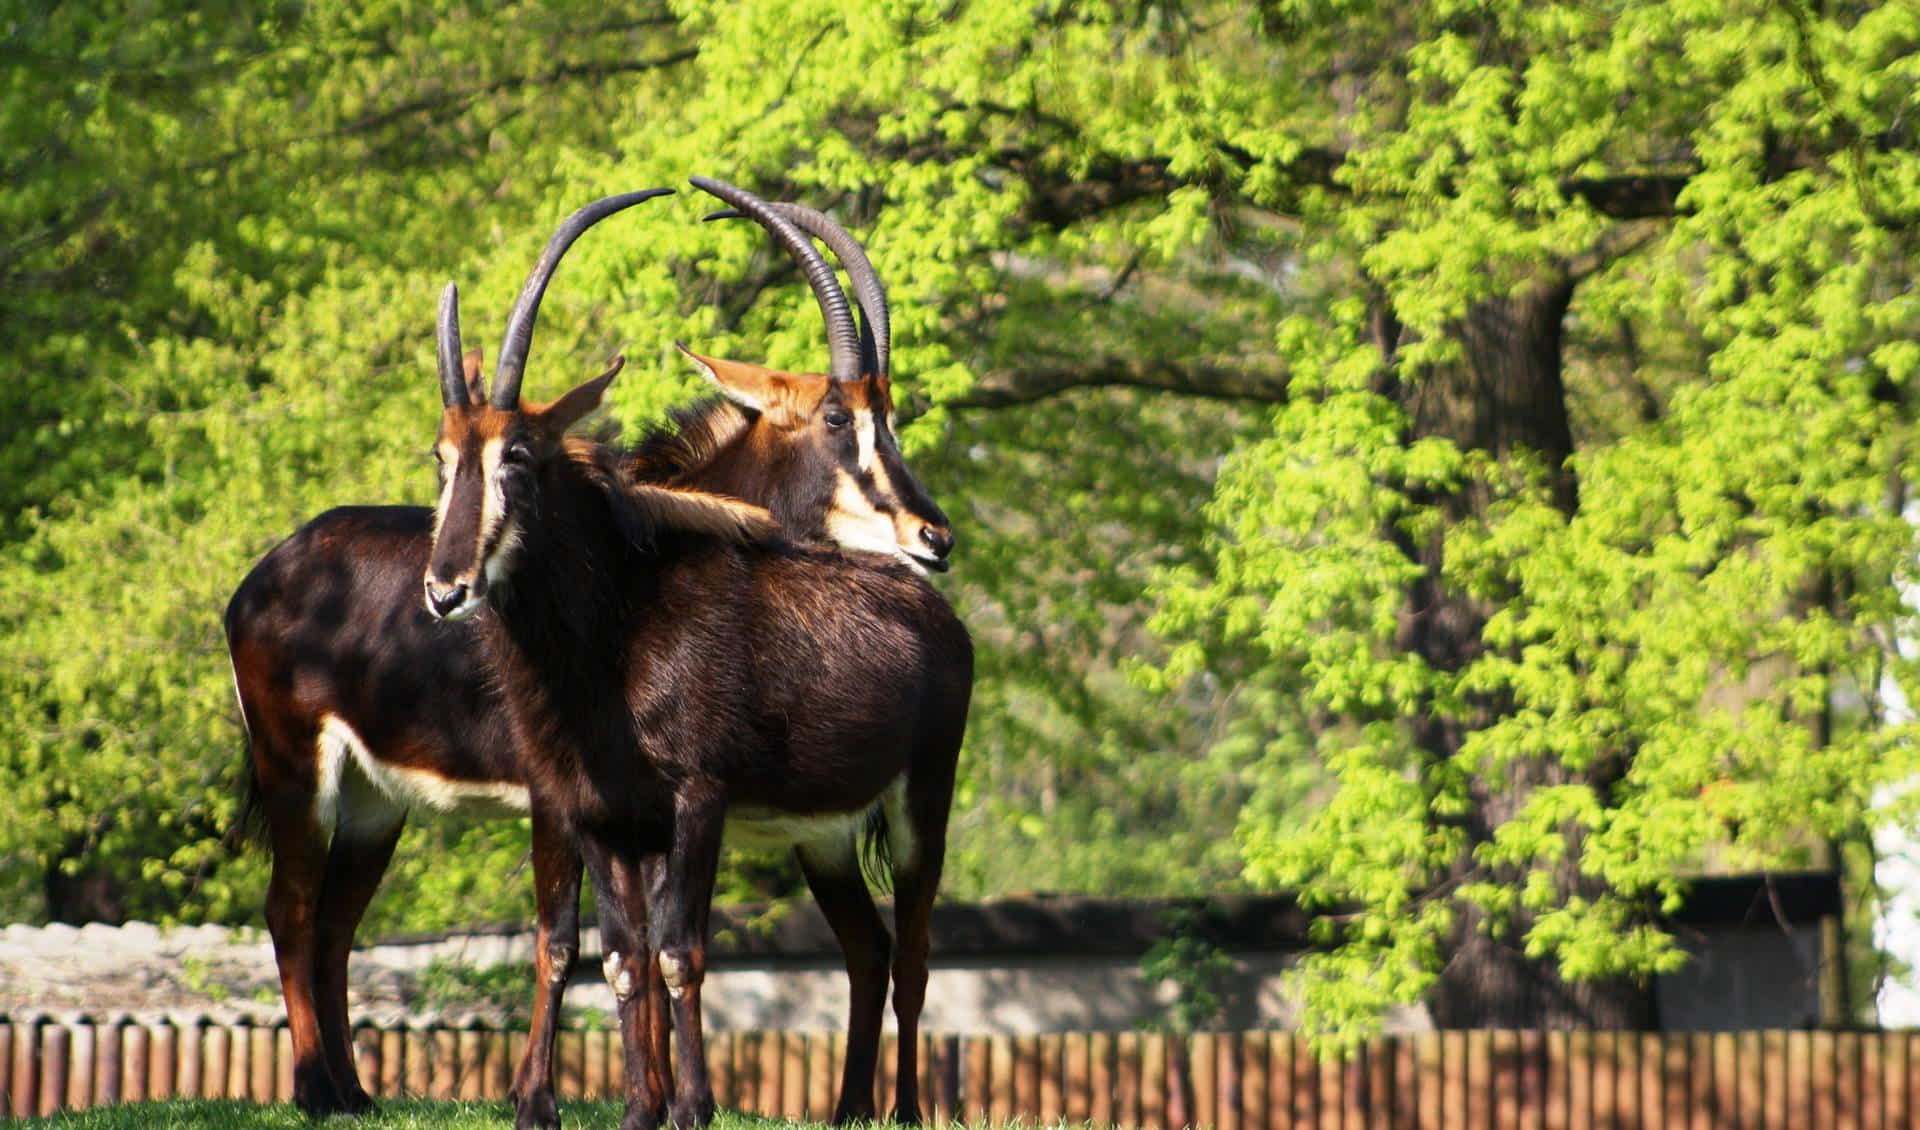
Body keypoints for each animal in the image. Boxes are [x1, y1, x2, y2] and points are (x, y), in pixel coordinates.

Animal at [228, 185, 956, 1120]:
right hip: (299, 771)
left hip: (373, 800)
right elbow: (571, 942)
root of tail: (259, 578)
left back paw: (355, 1092)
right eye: (838, 417)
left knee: (333, 923)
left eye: (888, 416)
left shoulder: (650, 806)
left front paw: (640, 1098)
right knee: (291, 910)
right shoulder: (565, 796)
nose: (935, 537)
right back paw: (318, 1088)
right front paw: (561, 1099)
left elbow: (636, 948)